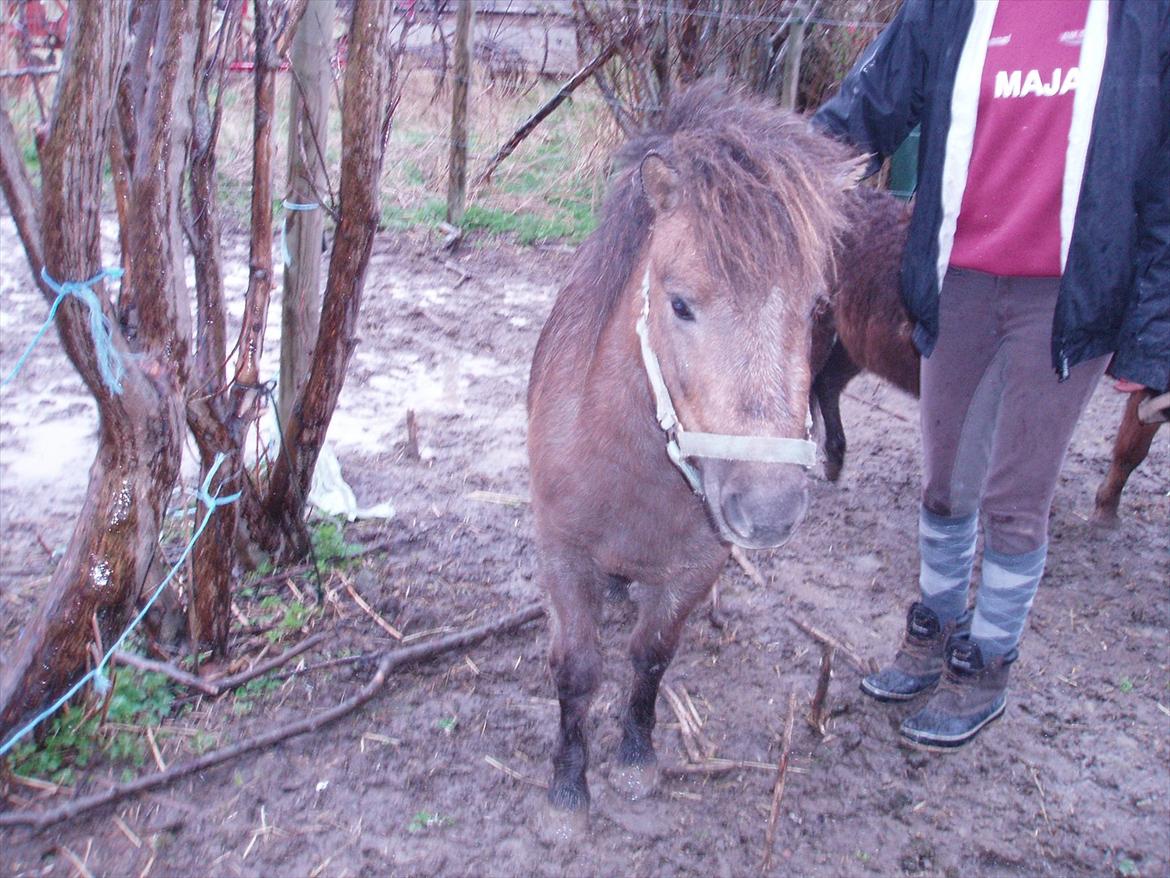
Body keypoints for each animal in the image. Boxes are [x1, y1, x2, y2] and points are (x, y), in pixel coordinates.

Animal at [526, 84, 865, 838]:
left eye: (817, 308)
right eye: (679, 304)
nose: (768, 510)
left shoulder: (697, 562)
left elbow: (651, 656)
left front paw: (635, 761)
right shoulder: (562, 554)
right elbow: (577, 670)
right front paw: (565, 792)